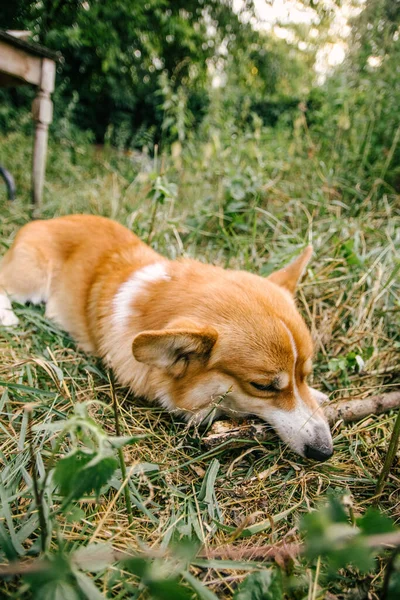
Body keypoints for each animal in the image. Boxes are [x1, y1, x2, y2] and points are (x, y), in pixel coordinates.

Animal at [0, 216, 332, 460]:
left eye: (305, 375)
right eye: (262, 386)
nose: (325, 452)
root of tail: (42, 220)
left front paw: (317, 395)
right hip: (31, 280)